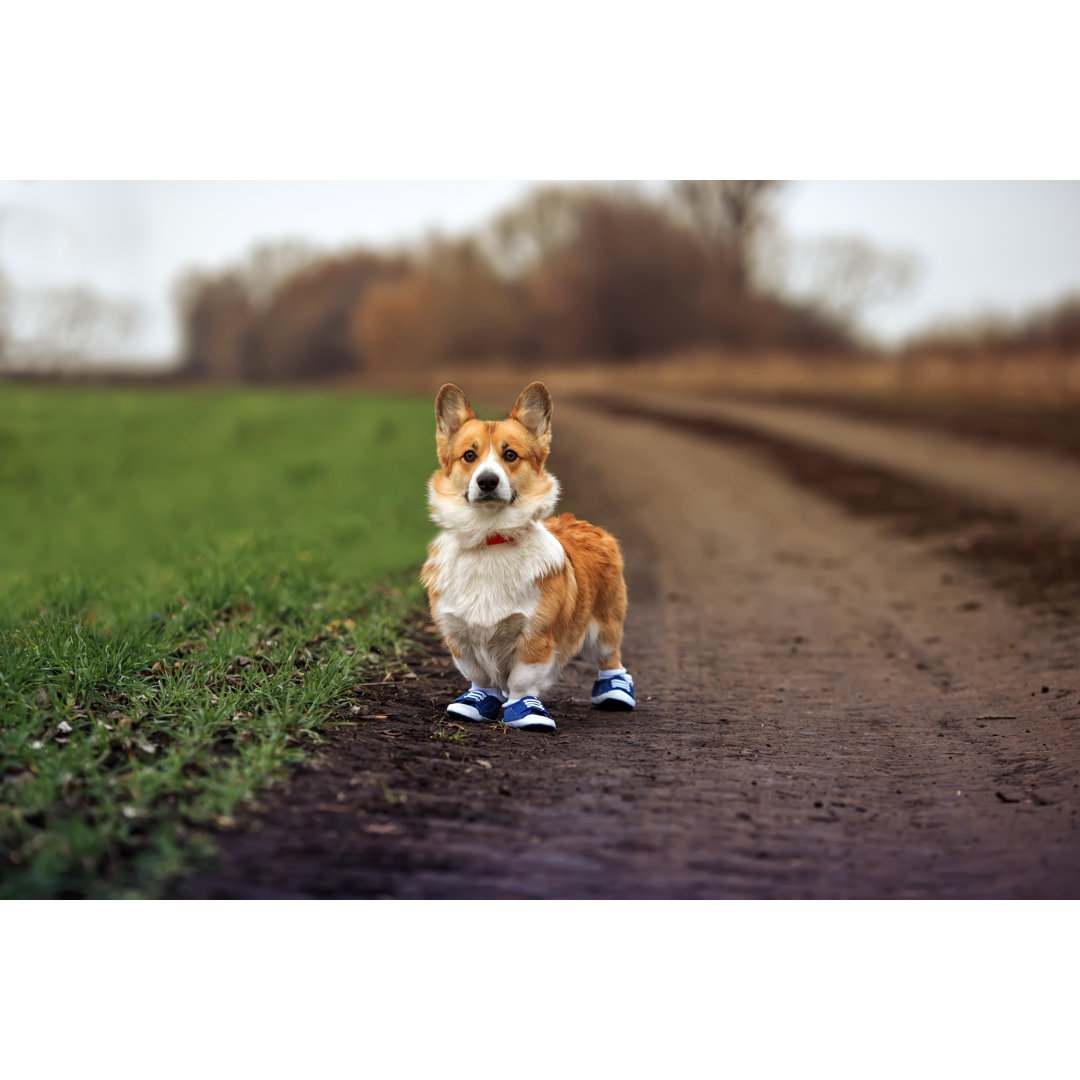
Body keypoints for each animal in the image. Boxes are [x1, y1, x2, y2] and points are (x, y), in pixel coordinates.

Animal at [419, 382, 630, 734]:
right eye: (469, 456)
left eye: (510, 455)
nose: (487, 481)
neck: (491, 538)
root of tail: (583, 522)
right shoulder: (458, 635)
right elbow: (479, 676)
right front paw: (476, 703)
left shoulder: (535, 636)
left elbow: (521, 680)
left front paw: (526, 712)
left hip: (606, 623)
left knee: (610, 658)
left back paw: (616, 692)